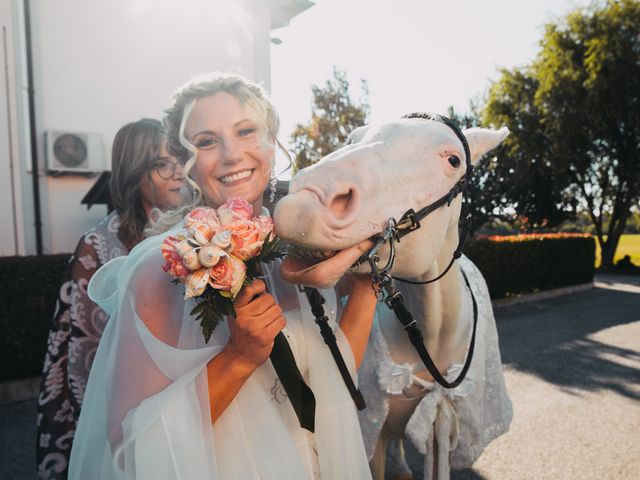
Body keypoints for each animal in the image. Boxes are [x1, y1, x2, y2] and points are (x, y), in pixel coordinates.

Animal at [276, 114, 516, 478]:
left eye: (453, 160)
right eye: (353, 137)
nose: (303, 201)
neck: (431, 336)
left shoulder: (440, 426)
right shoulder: (371, 435)